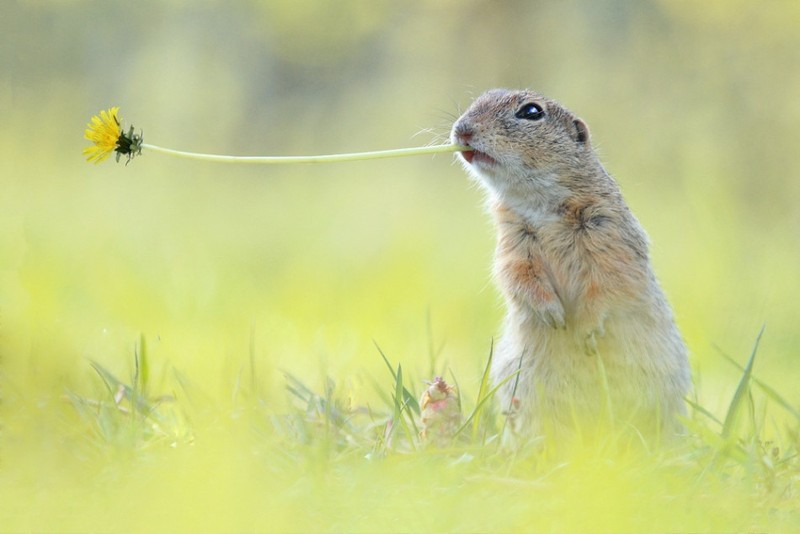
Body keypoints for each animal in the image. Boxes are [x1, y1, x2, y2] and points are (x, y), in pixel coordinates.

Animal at [454, 89, 692, 448]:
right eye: (479, 98)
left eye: (531, 112)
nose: (461, 130)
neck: (540, 203)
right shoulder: (513, 242)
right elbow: (516, 274)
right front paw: (552, 314)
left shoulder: (608, 233)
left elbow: (608, 281)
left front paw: (585, 331)